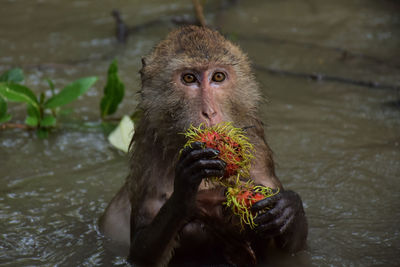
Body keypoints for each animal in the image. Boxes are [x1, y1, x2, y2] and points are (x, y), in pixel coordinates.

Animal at [98, 25, 308, 267]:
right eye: (189, 78)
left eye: (218, 77)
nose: (209, 112)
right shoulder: (148, 159)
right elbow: (140, 251)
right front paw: (184, 191)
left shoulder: (258, 153)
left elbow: (287, 253)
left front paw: (288, 208)